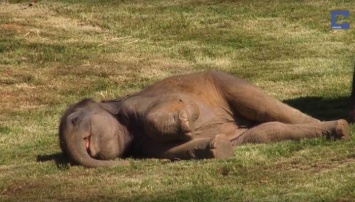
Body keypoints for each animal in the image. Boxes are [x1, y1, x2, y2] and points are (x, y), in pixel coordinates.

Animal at [59, 69, 350, 167]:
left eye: (74, 120)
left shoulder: (140, 103)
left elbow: (174, 106)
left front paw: (188, 120)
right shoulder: (145, 147)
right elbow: (176, 150)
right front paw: (217, 147)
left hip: (225, 82)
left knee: (265, 107)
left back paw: (340, 128)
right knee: (266, 131)